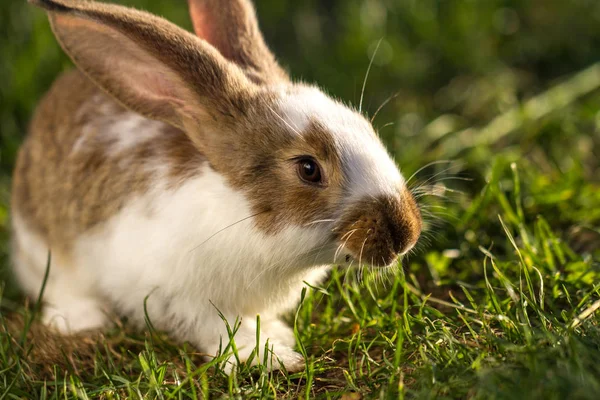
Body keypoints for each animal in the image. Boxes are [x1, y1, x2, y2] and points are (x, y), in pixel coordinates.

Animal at [10, 0, 422, 370]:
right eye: (308, 169)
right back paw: (82, 319)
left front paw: (278, 337)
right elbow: (218, 330)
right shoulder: (177, 298)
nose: (406, 234)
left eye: (365, 126)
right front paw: (270, 357)